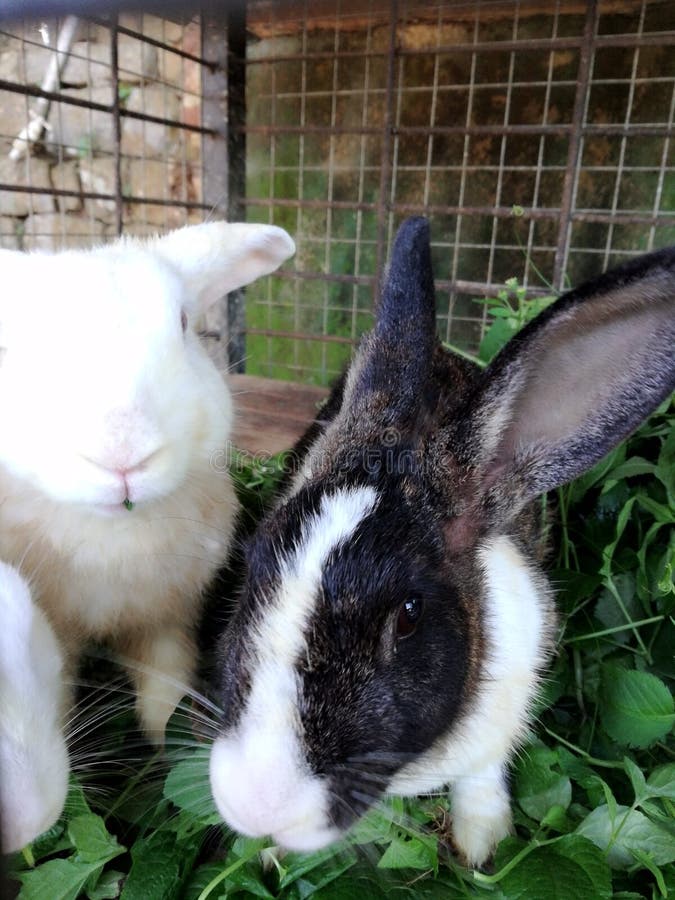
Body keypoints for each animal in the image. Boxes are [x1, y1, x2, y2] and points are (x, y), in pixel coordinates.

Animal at [0, 221, 295, 745]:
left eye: (183, 322)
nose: (124, 456)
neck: (114, 535)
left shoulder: (167, 622)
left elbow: (164, 696)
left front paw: (160, 750)